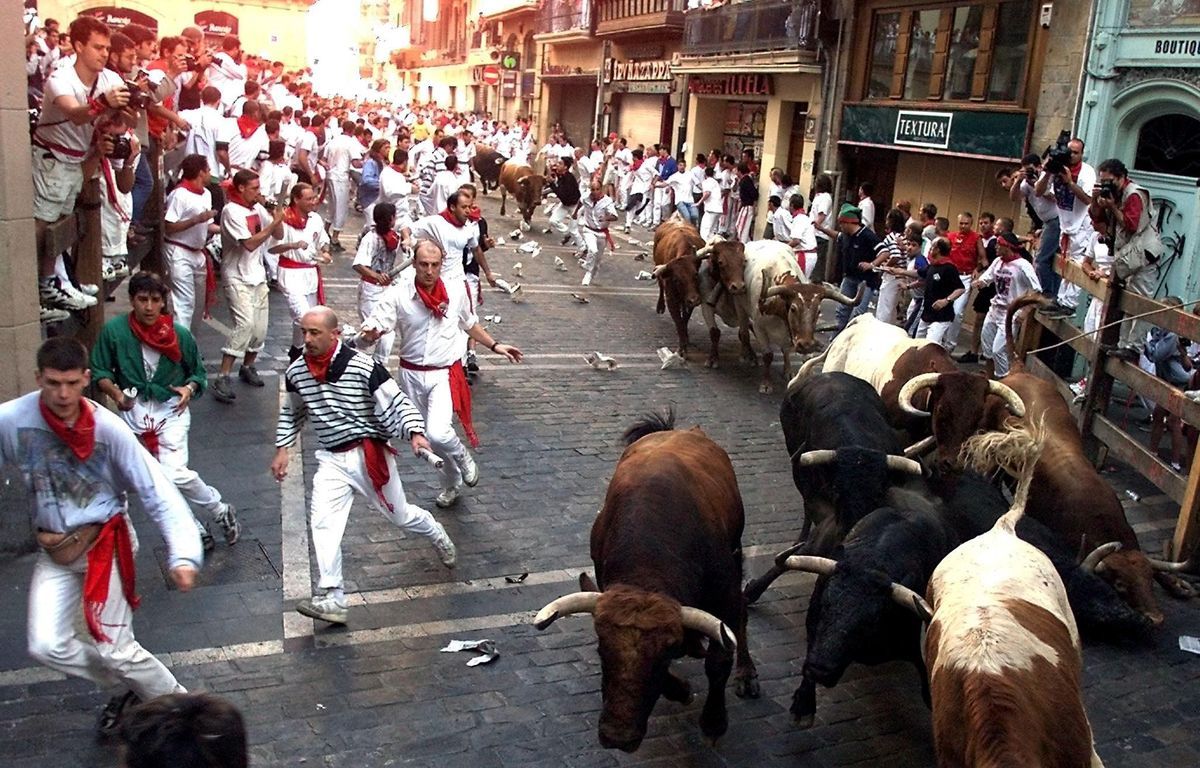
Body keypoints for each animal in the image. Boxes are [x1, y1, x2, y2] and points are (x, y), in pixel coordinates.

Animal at [535, 410, 758, 753]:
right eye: (601, 650)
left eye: (664, 653)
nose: (617, 736)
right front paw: (681, 689)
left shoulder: (725, 595)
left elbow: (720, 658)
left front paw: (713, 722)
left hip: (737, 550)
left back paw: (745, 673)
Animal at [652, 216, 705, 355]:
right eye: (676, 279)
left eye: (696, 274)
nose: (694, 300)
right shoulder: (672, 299)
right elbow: (678, 322)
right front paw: (682, 348)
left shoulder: (691, 297)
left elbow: (685, 318)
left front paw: (686, 338)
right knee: (661, 287)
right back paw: (660, 306)